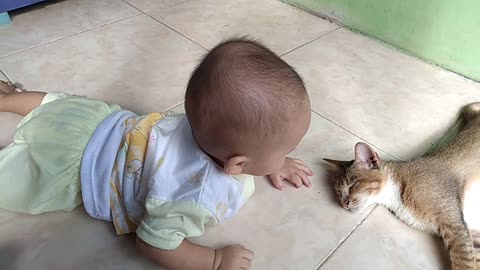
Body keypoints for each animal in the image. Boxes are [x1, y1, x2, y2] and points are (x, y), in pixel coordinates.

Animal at [324, 103, 480, 270]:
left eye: (353, 185)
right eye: (338, 192)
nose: (344, 203)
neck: (396, 197)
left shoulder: (454, 224)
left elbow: (464, 262)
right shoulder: (466, 229)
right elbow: (475, 255)